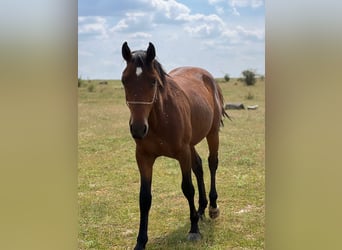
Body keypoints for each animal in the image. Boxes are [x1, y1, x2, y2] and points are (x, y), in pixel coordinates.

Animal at [121, 42, 228, 249]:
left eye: (153, 81)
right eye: (124, 80)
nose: (138, 129)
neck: (160, 118)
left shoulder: (182, 153)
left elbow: (187, 188)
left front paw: (194, 230)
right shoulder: (143, 157)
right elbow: (144, 198)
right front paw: (140, 241)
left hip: (212, 134)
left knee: (212, 164)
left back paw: (212, 207)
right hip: (192, 143)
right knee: (199, 167)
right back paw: (201, 209)